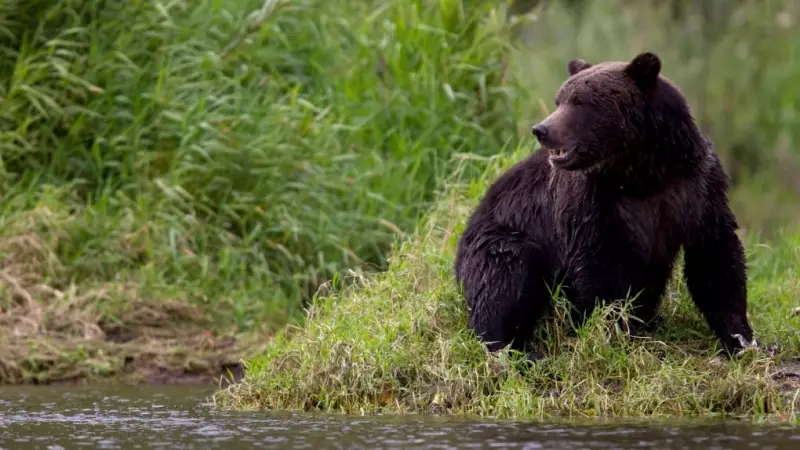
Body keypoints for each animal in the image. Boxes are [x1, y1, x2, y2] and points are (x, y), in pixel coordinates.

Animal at [454, 51, 755, 360]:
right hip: (500, 235)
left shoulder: (695, 187)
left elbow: (715, 256)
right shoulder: (593, 202)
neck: (641, 173)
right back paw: (513, 350)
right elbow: (600, 267)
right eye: (559, 100)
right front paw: (620, 332)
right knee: (504, 276)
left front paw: (741, 338)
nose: (542, 129)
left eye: (580, 102)